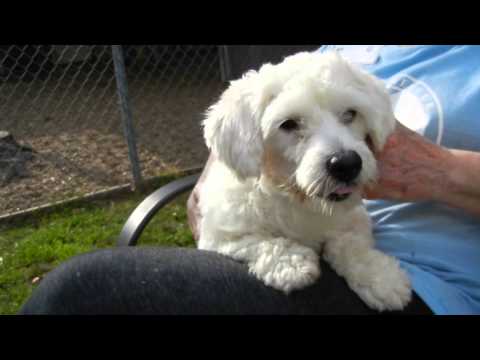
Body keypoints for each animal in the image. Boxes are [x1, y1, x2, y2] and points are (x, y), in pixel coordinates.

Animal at [197, 51, 410, 312]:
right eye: (288, 124)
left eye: (350, 114)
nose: (346, 164)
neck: (298, 201)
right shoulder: (219, 235)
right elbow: (254, 240)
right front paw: (291, 263)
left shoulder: (353, 220)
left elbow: (351, 243)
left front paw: (381, 277)